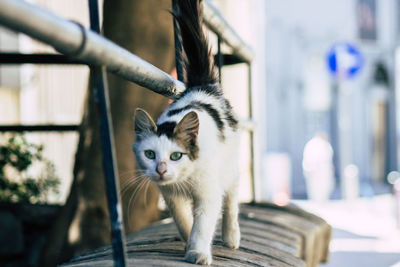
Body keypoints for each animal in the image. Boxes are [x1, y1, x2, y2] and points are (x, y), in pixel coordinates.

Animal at [134, 0, 241, 264]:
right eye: (150, 154)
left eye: (176, 155)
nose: (161, 170)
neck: (185, 177)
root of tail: (202, 86)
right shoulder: (170, 195)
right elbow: (184, 221)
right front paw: (188, 244)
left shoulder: (208, 192)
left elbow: (202, 224)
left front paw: (198, 252)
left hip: (230, 165)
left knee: (232, 195)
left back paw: (231, 236)